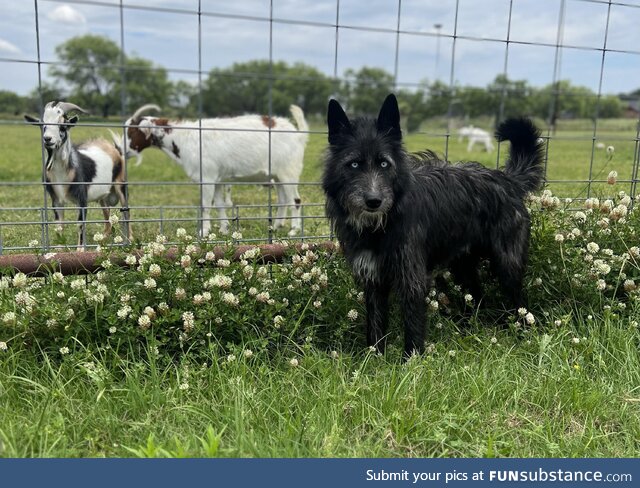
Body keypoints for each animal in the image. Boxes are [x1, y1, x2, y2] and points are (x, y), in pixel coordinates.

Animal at [24, 102, 132, 248]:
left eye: (63, 126)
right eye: (43, 125)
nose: (48, 139)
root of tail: (114, 149)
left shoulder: (82, 198)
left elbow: (80, 224)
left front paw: (80, 250)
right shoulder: (56, 200)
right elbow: (59, 225)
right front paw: (59, 247)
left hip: (121, 185)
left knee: (126, 212)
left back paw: (130, 240)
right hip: (103, 196)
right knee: (107, 217)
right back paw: (101, 241)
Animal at [121, 103, 312, 236]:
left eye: (131, 132)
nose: (121, 149)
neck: (184, 138)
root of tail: (299, 134)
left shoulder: (207, 177)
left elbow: (205, 205)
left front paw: (204, 232)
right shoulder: (218, 179)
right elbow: (220, 204)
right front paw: (224, 229)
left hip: (289, 172)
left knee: (295, 200)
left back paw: (294, 230)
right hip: (277, 175)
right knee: (283, 199)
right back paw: (276, 226)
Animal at [322, 95, 544, 356]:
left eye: (384, 164)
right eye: (354, 165)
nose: (374, 201)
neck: (380, 227)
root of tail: (507, 179)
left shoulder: (412, 278)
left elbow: (413, 327)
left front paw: (411, 361)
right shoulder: (373, 278)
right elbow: (375, 327)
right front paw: (374, 359)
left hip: (507, 265)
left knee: (521, 304)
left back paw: (524, 338)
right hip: (463, 266)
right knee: (476, 296)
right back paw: (468, 331)